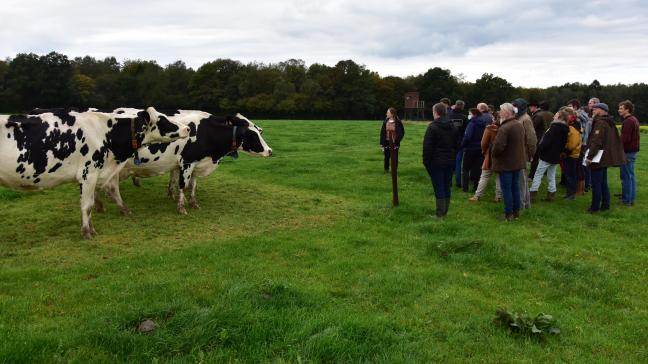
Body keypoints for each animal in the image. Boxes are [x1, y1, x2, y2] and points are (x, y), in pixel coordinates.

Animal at [0, 107, 190, 239]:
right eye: (163, 120)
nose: (188, 128)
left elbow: (91, 203)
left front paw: (90, 228)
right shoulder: (88, 174)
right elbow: (87, 205)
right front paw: (87, 232)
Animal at [109, 109, 274, 215]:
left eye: (259, 132)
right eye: (252, 135)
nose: (270, 151)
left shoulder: (196, 164)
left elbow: (192, 184)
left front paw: (193, 202)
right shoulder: (186, 162)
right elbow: (183, 184)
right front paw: (181, 207)